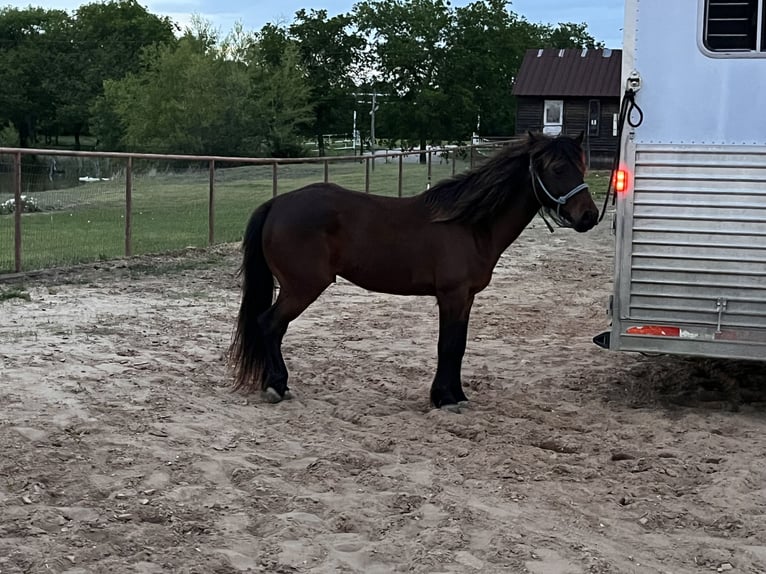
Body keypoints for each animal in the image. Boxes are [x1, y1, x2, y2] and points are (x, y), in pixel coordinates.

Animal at [228, 131, 599, 412]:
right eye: (556, 168)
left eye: (581, 166)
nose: (589, 216)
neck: (469, 225)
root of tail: (277, 203)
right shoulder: (451, 296)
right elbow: (447, 345)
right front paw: (444, 399)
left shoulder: (466, 299)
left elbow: (459, 345)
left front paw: (456, 395)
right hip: (302, 287)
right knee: (270, 325)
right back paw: (277, 386)